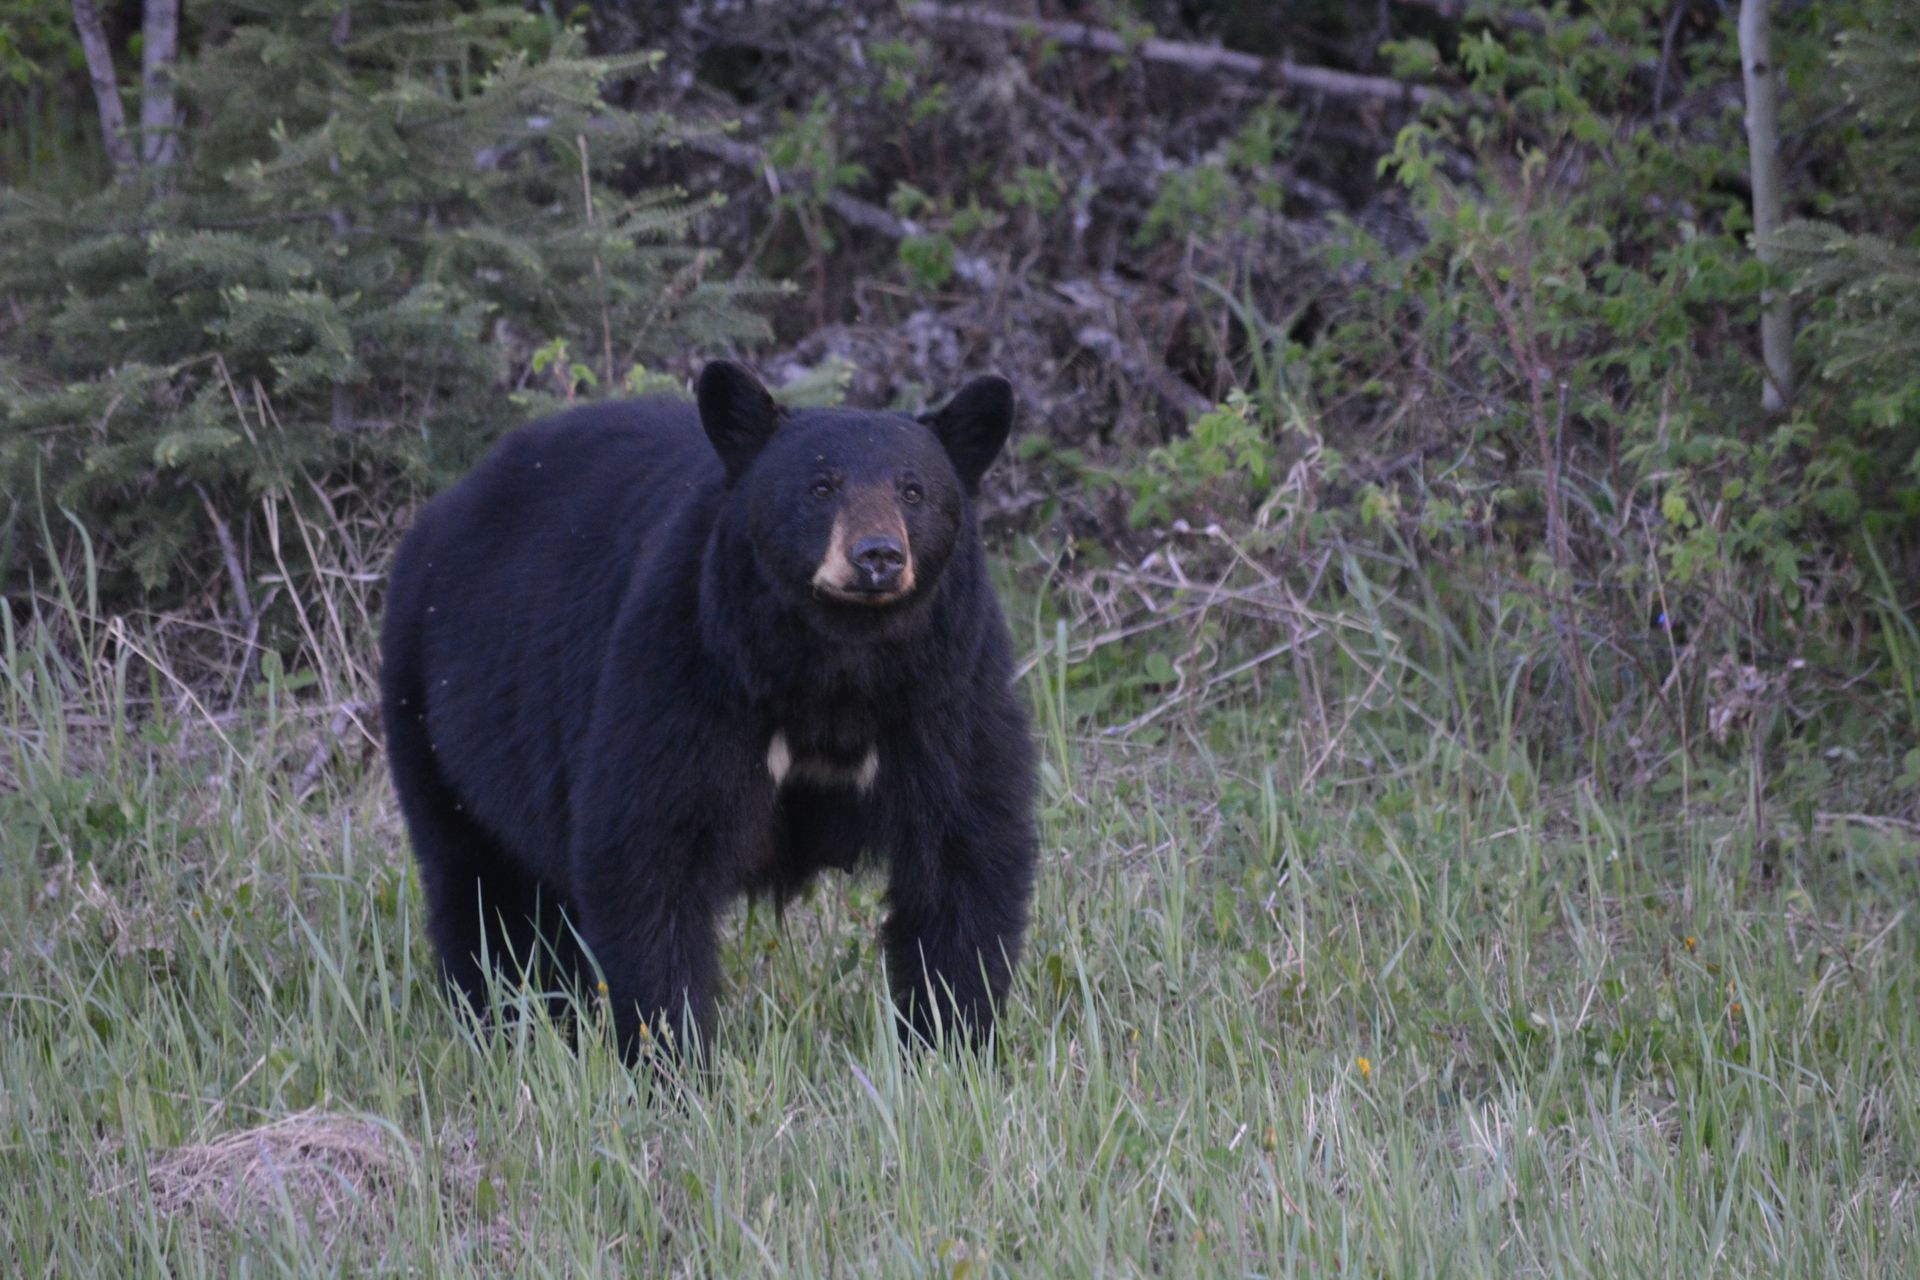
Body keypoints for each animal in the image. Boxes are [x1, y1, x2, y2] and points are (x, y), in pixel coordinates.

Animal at [379, 361, 1038, 1061]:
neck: (838, 664)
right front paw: (673, 1053)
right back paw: (503, 1022)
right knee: (481, 887)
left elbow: (964, 849)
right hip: (439, 713)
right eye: (821, 486)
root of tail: (446, 504)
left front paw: (952, 1038)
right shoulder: (692, 669)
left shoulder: (945, 692)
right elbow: (648, 851)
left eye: (913, 491)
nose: (878, 555)